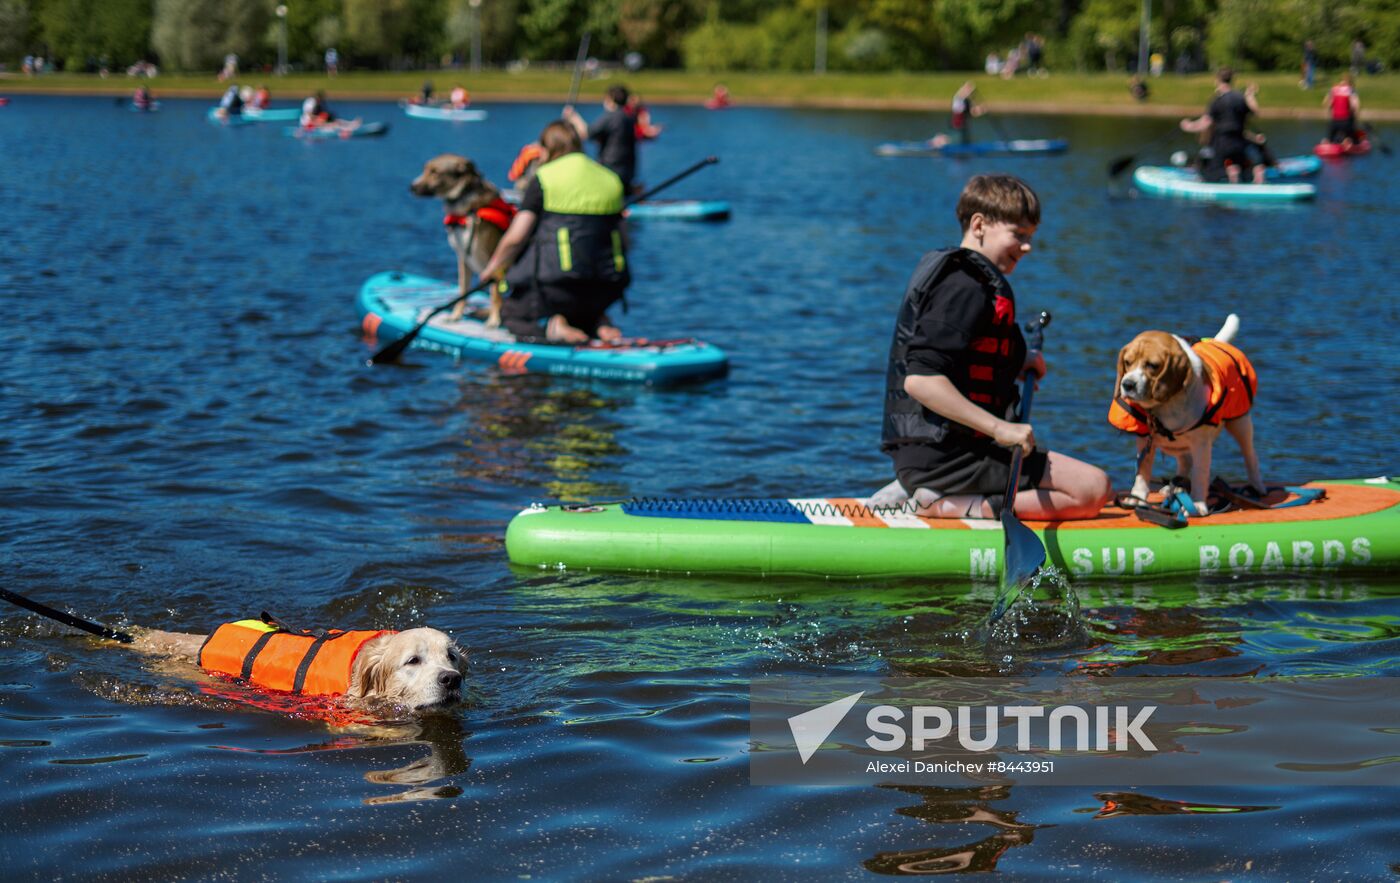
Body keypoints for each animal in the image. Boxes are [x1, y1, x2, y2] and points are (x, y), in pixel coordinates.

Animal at [408, 154, 518, 324]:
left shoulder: (494, 257)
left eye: (435, 172)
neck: (468, 212)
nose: (412, 186)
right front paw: (455, 316)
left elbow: (495, 294)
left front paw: (494, 321)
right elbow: (463, 290)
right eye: (425, 169)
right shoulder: (463, 258)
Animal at [1108, 314, 1265, 514]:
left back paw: (1257, 485)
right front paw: (1138, 498)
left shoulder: (1201, 444)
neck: (1165, 405)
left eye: (1152, 365)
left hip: (1240, 424)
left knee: (1250, 455)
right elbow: (1142, 472)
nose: (1127, 384)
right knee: (1185, 461)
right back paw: (1175, 488)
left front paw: (1197, 505)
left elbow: (1200, 474)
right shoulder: (1145, 440)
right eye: (1127, 362)